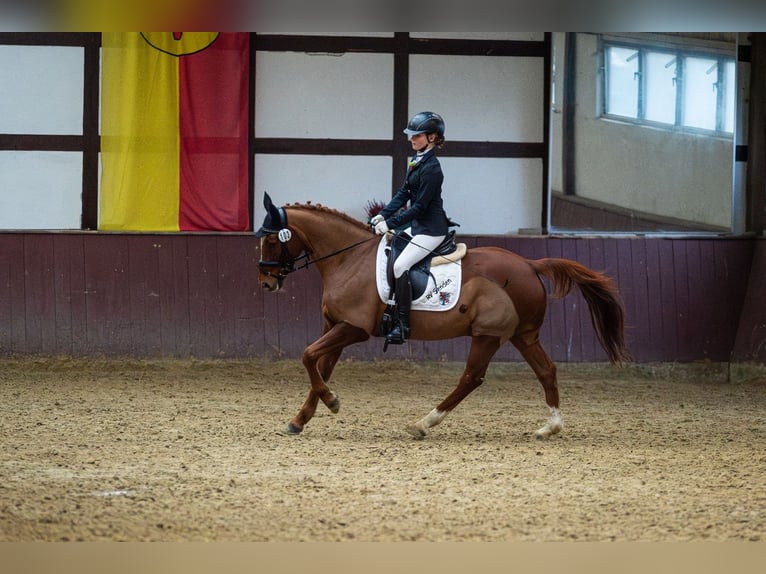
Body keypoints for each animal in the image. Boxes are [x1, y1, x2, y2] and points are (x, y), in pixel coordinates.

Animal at [258, 195, 632, 440]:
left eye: (272, 241)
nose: (265, 282)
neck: (348, 259)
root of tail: (529, 264)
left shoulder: (353, 329)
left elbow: (308, 356)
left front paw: (332, 402)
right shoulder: (334, 325)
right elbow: (320, 368)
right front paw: (301, 418)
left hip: (488, 335)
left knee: (471, 378)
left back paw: (423, 423)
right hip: (522, 335)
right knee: (546, 370)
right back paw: (550, 427)